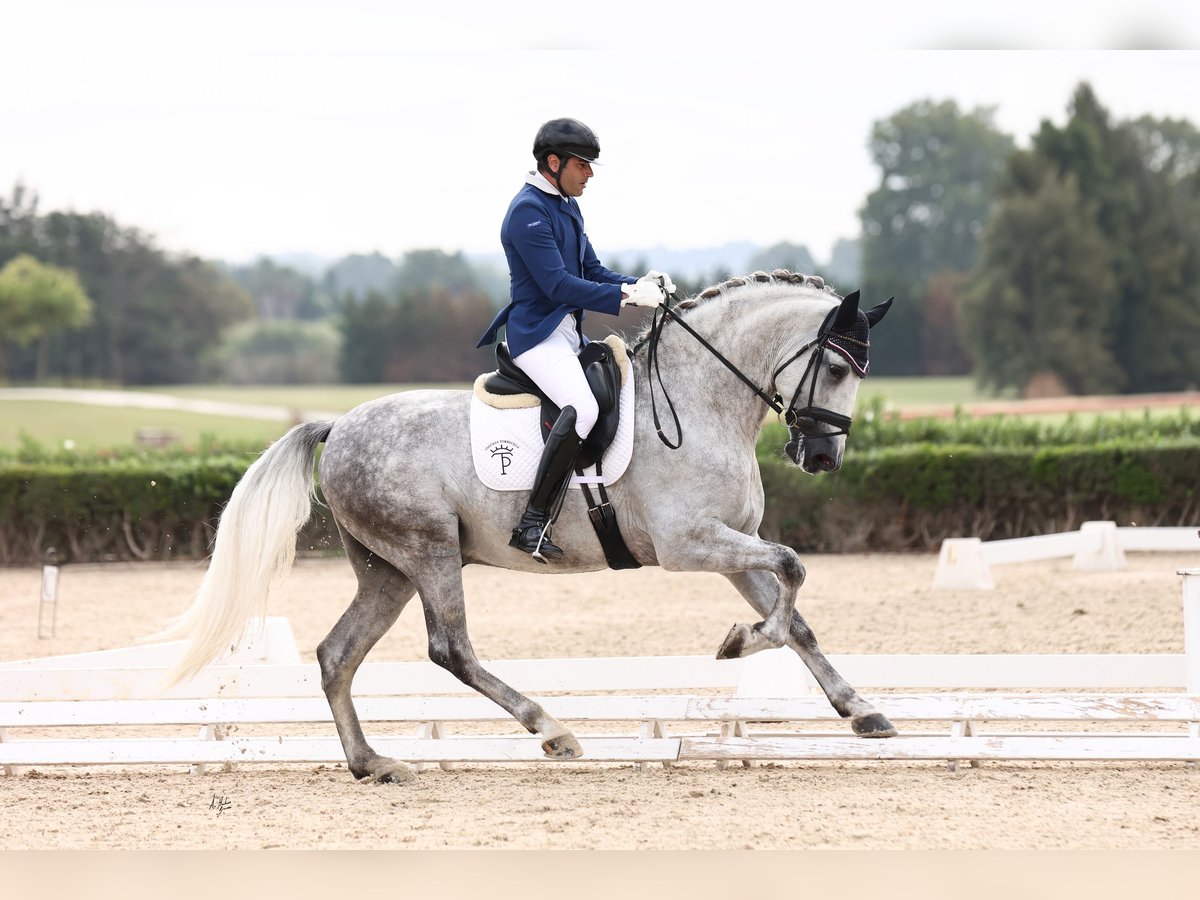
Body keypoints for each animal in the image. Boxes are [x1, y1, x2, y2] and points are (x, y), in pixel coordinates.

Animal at [157, 267, 892, 782]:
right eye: (833, 367)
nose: (822, 458)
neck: (699, 400)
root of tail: (337, 428)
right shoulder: (690, 544)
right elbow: (793, 567)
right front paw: (740, 642)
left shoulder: (734, 547)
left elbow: (796, 616)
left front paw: (861, 710)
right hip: (427, 551)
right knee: (450, 649)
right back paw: (550, 729)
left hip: (387, 570)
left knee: (339, 654)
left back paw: (373, 764)